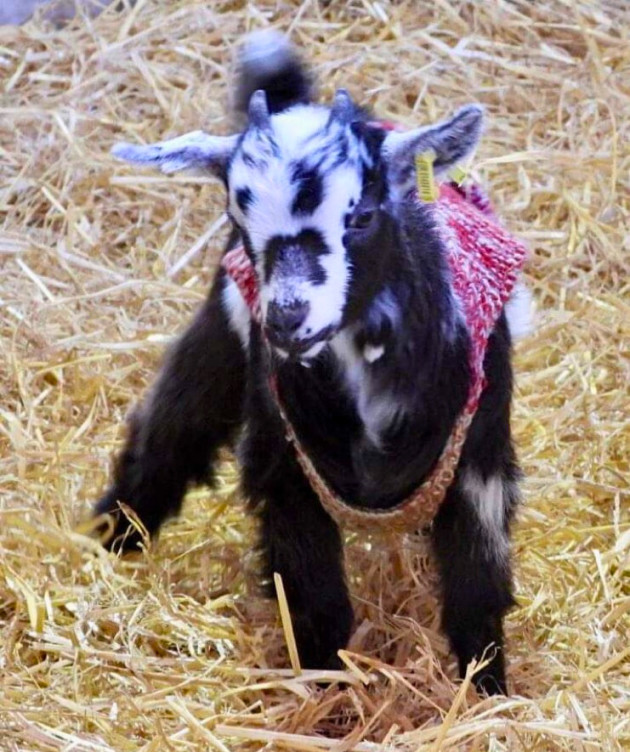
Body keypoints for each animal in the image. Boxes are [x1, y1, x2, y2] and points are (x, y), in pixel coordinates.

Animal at [95, 31, 529, 695]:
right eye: (238, 218)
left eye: (363, 215)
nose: (287, 318)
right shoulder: (285, 465)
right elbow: (313, 600)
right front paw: (326, 694)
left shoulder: (479, 461)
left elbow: (477, 587)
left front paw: (488, 692)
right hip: (224, 331)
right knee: (172, 428)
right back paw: (111, 536)